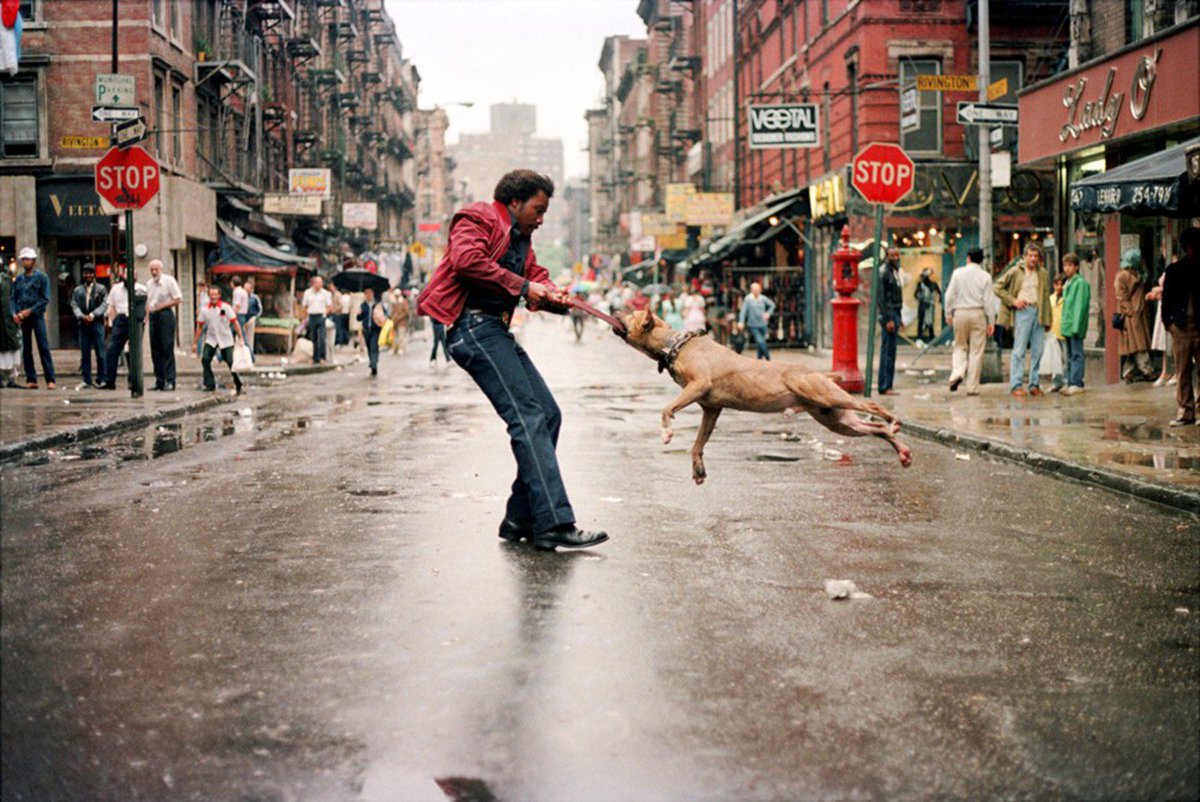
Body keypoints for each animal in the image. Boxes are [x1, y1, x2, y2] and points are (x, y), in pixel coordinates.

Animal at [614, 307, 912, 482]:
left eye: (629, 313)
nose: (613, 308)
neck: (672, 344)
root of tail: (822, 375)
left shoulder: (698, 385)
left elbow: (667, 408)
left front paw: (666, 432)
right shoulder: (711, 409)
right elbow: (698, 444)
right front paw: (698, 469)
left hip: (824, 395)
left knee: (872, 405)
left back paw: (893, 420)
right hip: (836, 419)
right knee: (875, 429)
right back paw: (903, 451)